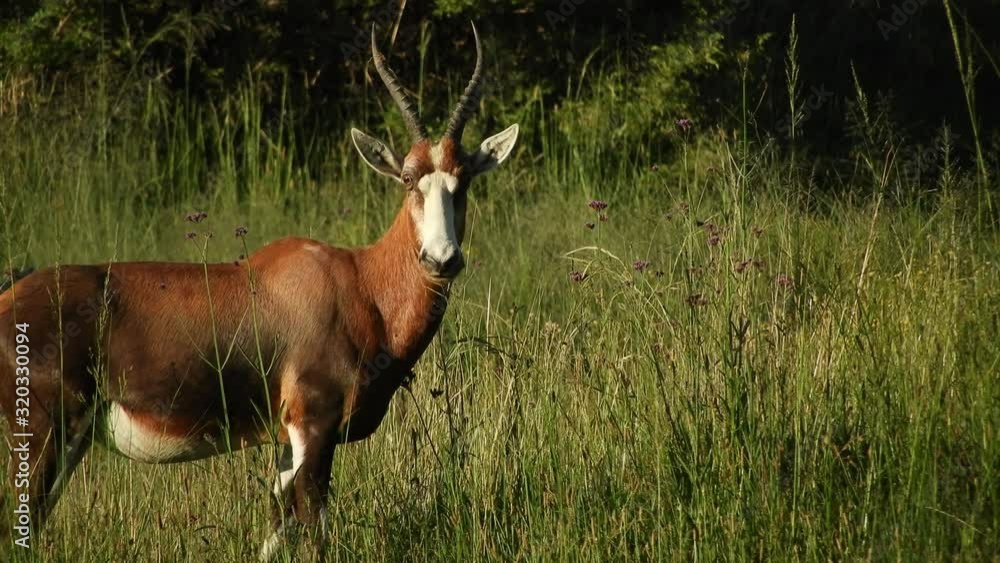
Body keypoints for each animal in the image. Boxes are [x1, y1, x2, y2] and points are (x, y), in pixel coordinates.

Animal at [0, 24, 518, 559]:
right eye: (409, 178)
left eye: (463, 180)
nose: (442, 259)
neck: (358, 282)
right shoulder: (314, 427)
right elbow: (313, 527)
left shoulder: (287, 442)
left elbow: (276, 527)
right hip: (44, 433)